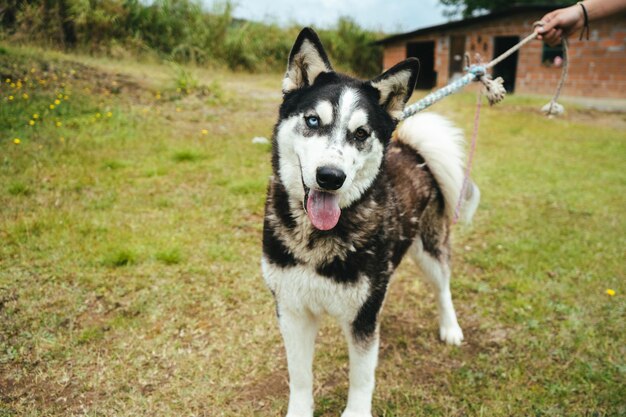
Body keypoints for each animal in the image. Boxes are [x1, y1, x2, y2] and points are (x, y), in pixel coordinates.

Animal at [258, 28, 478, 416]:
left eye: (361, 133)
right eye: (312, 121)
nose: (330, 177)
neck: (318, 238)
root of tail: (413, 151)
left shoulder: (362, 318)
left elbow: (362, 378)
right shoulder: (292, 309)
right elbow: (299, 378)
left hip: (429, 251)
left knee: (443, 287)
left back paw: (450, 327)